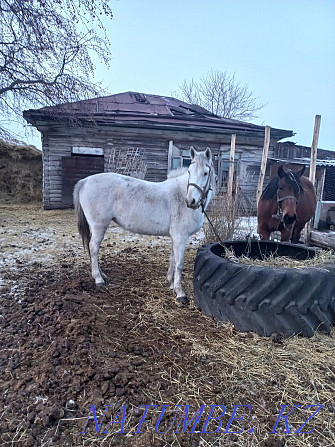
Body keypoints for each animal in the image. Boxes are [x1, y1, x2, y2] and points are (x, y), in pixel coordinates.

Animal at [73, 147, 215, 304]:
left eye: (205, 173)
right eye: (189, 171)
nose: (190, 201)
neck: (179, 195)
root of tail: (85, 181)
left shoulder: (176, 237)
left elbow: (173, 259)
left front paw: (170, 283)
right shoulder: (181, 237)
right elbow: (179, 264)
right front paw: (180, 293)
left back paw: (102, 275)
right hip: (99, 226)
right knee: (93, 249)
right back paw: (98, 279)